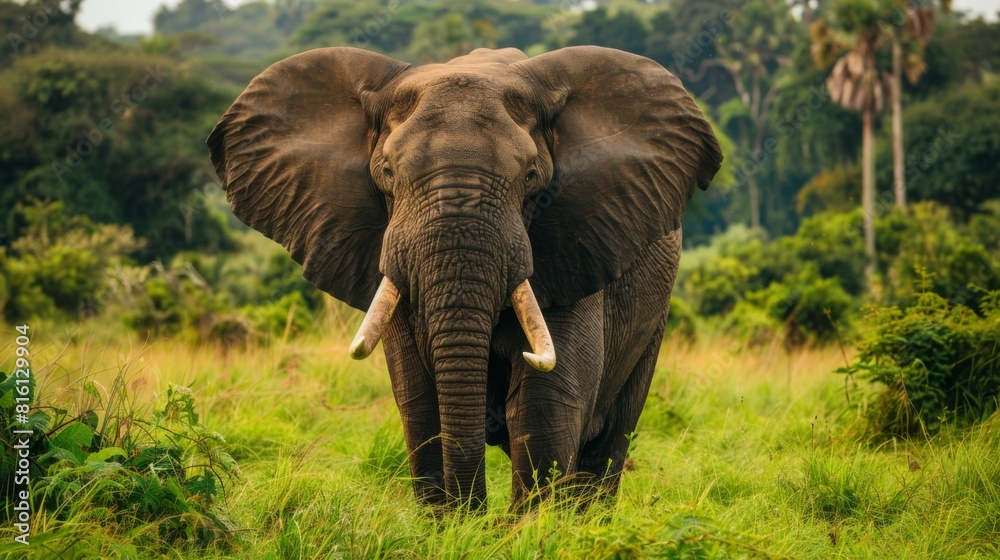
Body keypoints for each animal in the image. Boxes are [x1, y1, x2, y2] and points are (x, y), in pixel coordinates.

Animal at [207, 46, 722, 511]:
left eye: (532, 177)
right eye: (387, 173)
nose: (471, 513)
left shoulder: (578, 242)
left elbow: (545, 404)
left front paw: (523, 534)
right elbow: (419, 402)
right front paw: (453, 528)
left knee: (610, 436)